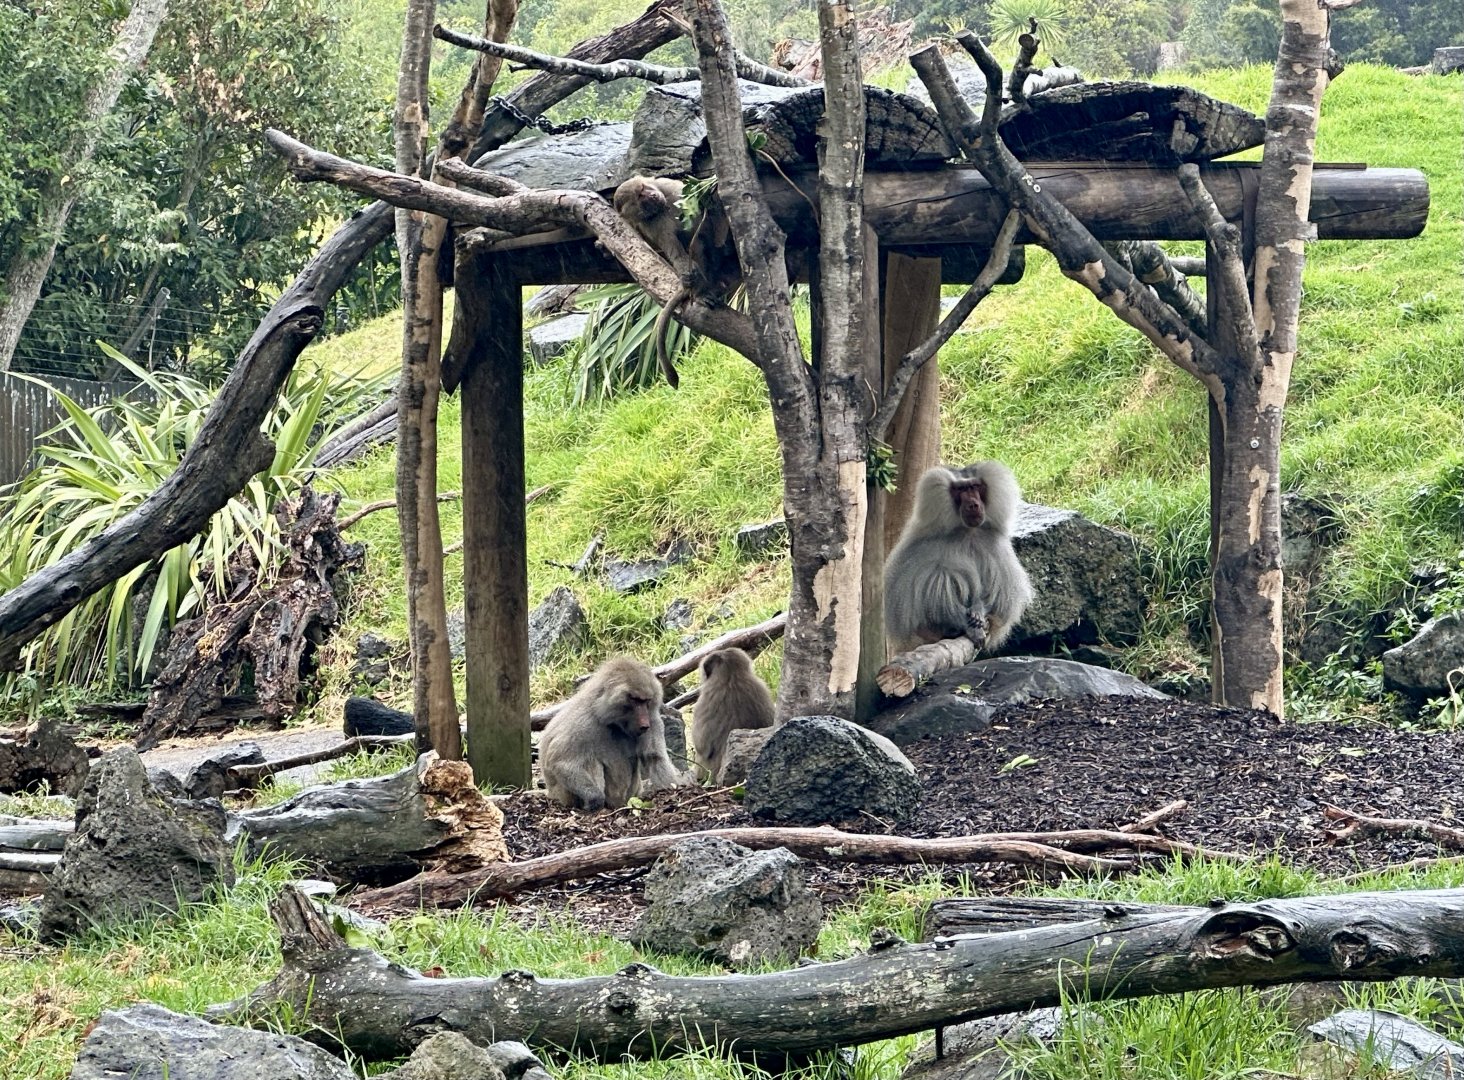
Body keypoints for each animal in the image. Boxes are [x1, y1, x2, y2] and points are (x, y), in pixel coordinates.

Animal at [538, 656, 692, 810]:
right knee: (588, 759)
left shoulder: (653, 719)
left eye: (646, 701)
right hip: (564, 795)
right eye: (635, 700)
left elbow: (654, 758)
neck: (613, 722)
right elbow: (560, 762)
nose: (644, 724)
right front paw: (594, 798)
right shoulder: (582, 721)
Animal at [883, 460, 1034, 656]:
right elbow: (930, 587)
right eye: (961, 490)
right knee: (943, 577)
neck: (967, 531)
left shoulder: (993, 542)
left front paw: (978, 610)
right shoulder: (930, 544)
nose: (973, 505)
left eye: (975, 487)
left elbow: (998, 596)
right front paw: (967, 623)